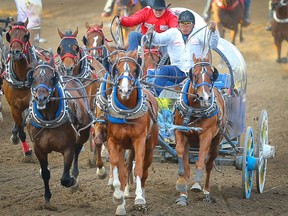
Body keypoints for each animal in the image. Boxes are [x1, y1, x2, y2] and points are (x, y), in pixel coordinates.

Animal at [26, 53, 93, 208]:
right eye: (34, 77)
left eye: (52, 78)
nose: (41, 98)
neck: (48, 119)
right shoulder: (38, 148)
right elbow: (45, 173)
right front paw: (47, 199)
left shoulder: (68, 147)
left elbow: (65, 178)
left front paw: (73, 182)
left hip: (83, 134)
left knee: (78, 149)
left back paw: (75, 175)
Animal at [107, 50, 159, 214]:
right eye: (116, 70)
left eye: (135, 70)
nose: (124, 90)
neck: (126, 113)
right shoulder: (114, 142)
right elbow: (117, 168)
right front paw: (119, 199)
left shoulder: (139, 141)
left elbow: (139, 170)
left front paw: (139, 199)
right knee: (126, 167)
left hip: (149, 148)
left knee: (144, 172)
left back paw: (142, 196)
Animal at [173, 53, 227, 206]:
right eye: (195, 75)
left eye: (212, 75)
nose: (205, 97)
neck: (194, 109)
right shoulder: (179, 132)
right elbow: (181, 156)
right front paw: (181, 185)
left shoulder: (206, 136)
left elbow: (201, 160)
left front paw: (197, 184)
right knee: (188, 164)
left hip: (216, 142)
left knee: (209, 164)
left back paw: (206, 192)